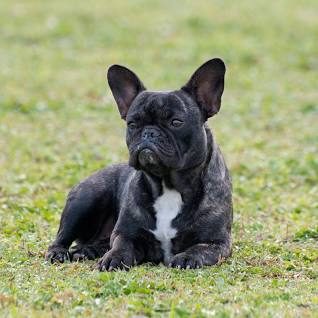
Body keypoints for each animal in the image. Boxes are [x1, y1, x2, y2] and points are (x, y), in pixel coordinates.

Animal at [45, 57, 234, 270]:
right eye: (132, 124)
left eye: (176, 122)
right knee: (62, 237)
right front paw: (114, 257)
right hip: (85, 198)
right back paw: (59, 252)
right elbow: (121, 245)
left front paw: (187, 258)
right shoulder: (125, 234)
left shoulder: (217, 242)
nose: (149, 132)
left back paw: (87, 251)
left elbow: (200, 249)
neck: (167, 185)